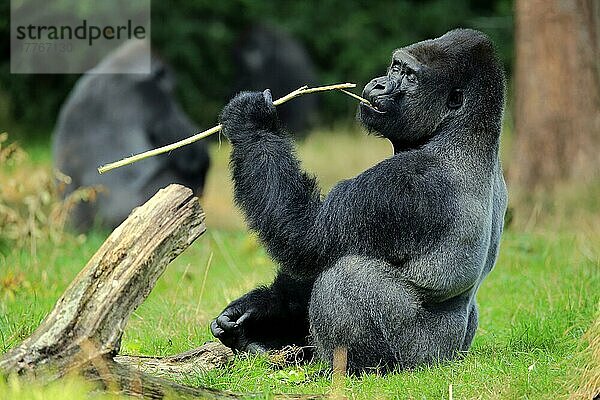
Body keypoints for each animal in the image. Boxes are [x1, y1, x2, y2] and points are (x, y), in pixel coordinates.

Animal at [211, 29, 506, 374]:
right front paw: (261, 309)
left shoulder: (406, 182)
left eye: (410, 76)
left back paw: (352, 368)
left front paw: (252, 121)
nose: (379, 84)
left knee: (348, 275)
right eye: (395, 67)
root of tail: (455, 355)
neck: (463, 131)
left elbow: (309, 237)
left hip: (423, 360)